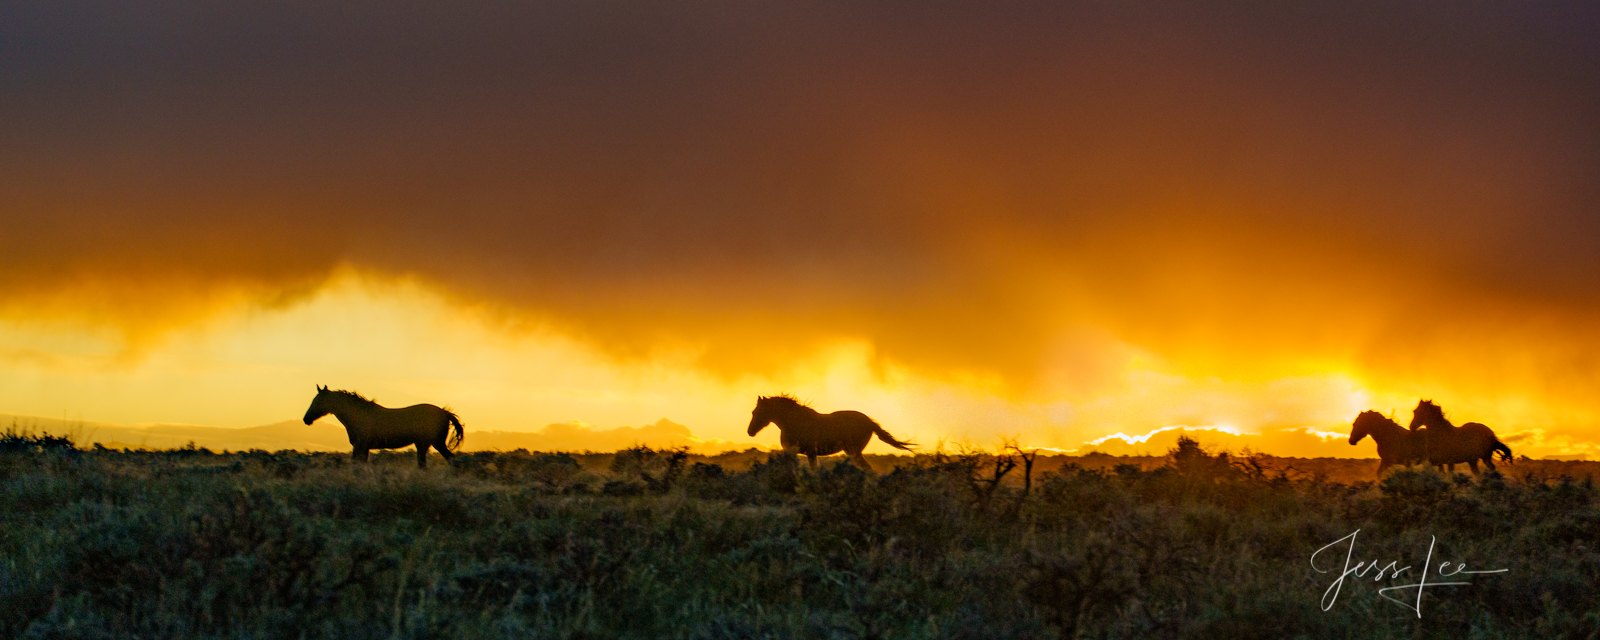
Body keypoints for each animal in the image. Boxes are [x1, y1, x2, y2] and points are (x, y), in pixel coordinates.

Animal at [302, 385, 464, 470]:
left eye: (318, 401)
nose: (306, 419)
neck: (359, 415)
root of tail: (445, 412)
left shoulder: (361, 446)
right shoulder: (363, 448)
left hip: (436, 443)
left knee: (450, 459)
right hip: (423, 445)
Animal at [745, 395, 915, 470]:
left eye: (757, 412)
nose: (750, 432)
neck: (793, 421)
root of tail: (869, 422)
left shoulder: (802, 452)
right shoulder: (803, 453)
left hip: (853, 451)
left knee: (867, 468)